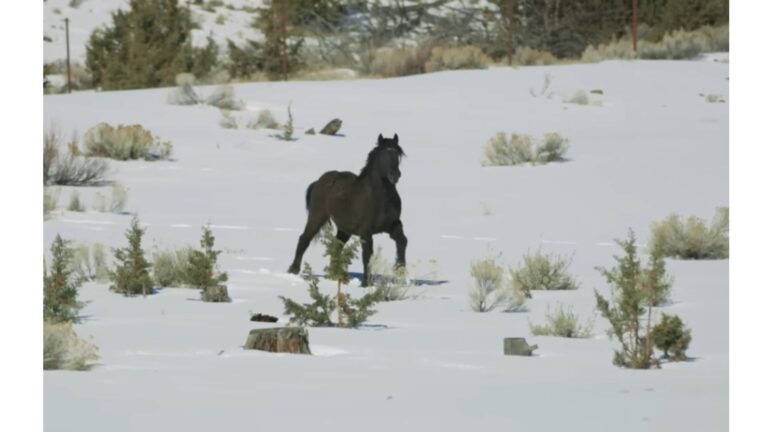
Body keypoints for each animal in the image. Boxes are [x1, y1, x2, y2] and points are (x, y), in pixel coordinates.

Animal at [288, 133, 408, 287]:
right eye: (383, 153)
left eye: (398, 153)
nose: (395, 175)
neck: (380, 198)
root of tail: (319, 181)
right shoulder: (366, 231)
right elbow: (367, 254)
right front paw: (365, 283)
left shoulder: (393, 225)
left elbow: (402, 241)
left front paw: (400, 273)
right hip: (317, 216)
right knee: (304, 239)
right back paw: (293, 270)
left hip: (344, 229)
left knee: (337, 247)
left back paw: (335, 275)